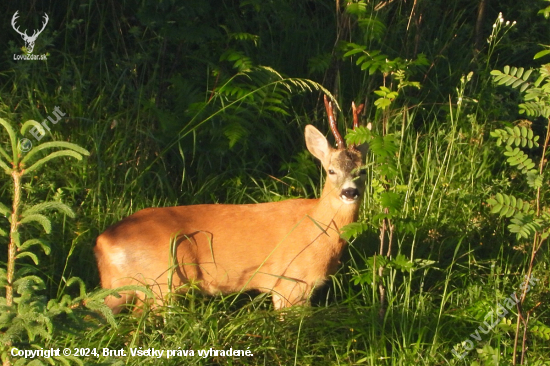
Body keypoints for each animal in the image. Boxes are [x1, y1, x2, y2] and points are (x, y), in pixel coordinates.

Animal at [95, 95, 368, 312]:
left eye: (363, 170)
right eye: (331, 170)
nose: (350, 192)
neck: (318, 228)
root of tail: (103, 243)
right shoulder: (291, 283)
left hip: (124, 287)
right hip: (162, 282)